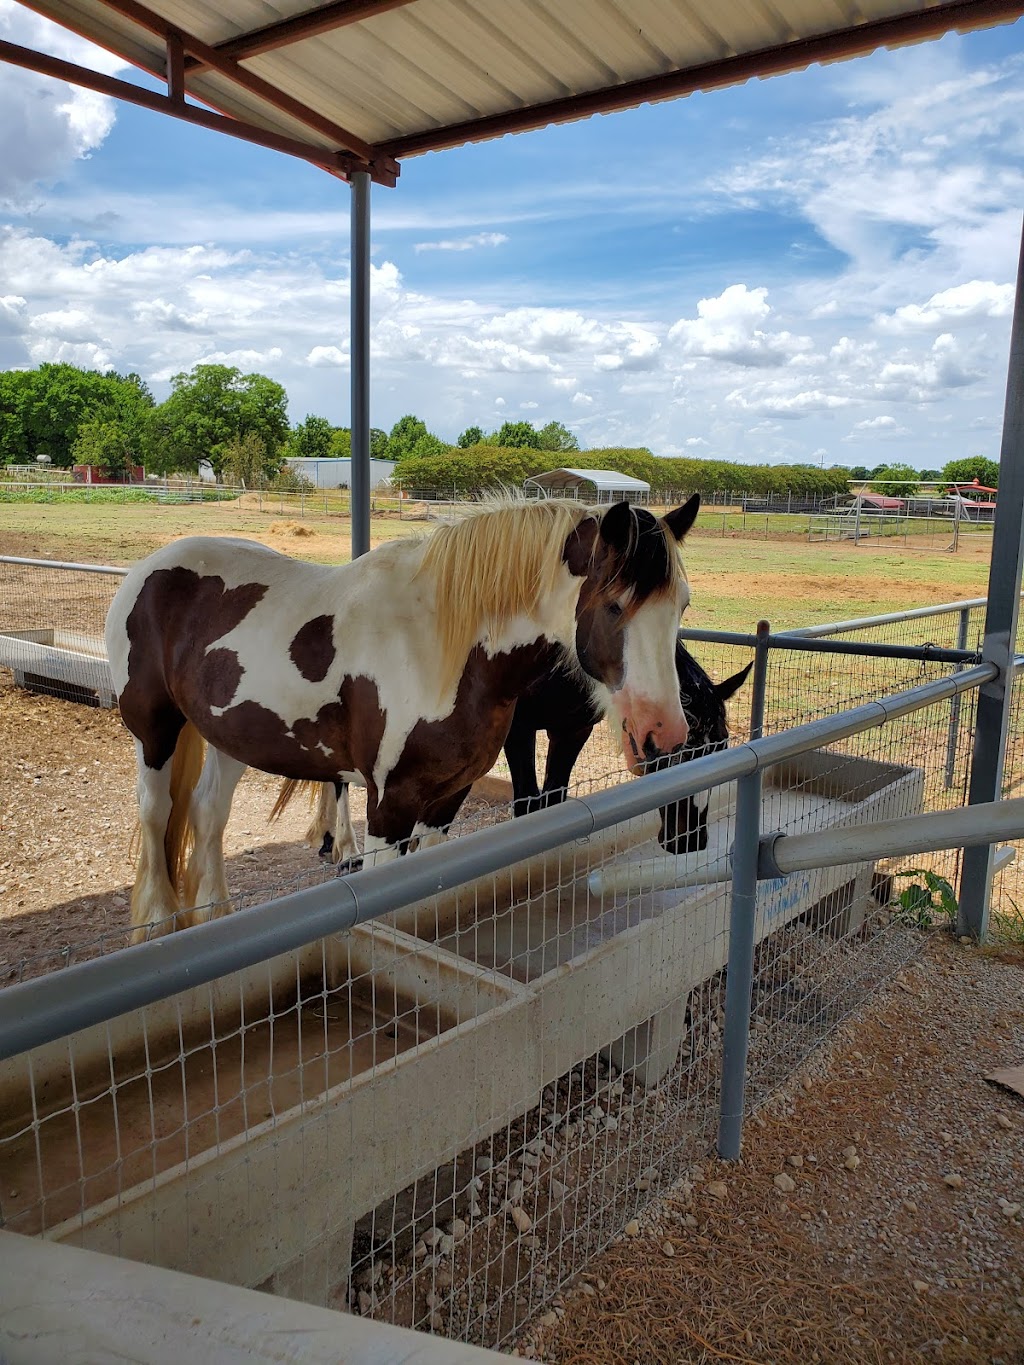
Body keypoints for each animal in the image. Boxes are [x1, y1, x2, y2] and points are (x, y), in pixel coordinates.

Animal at [108, 496, 704, 944]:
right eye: (614, 606)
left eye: (681, 605)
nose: (664, 734)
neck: (438, 644)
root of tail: (149, 569)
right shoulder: (388, 807)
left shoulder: (444, 802)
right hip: (154, 731)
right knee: (157, 813)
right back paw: (157, 925)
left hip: (231, 735)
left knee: (208, 813)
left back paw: (212, 915)